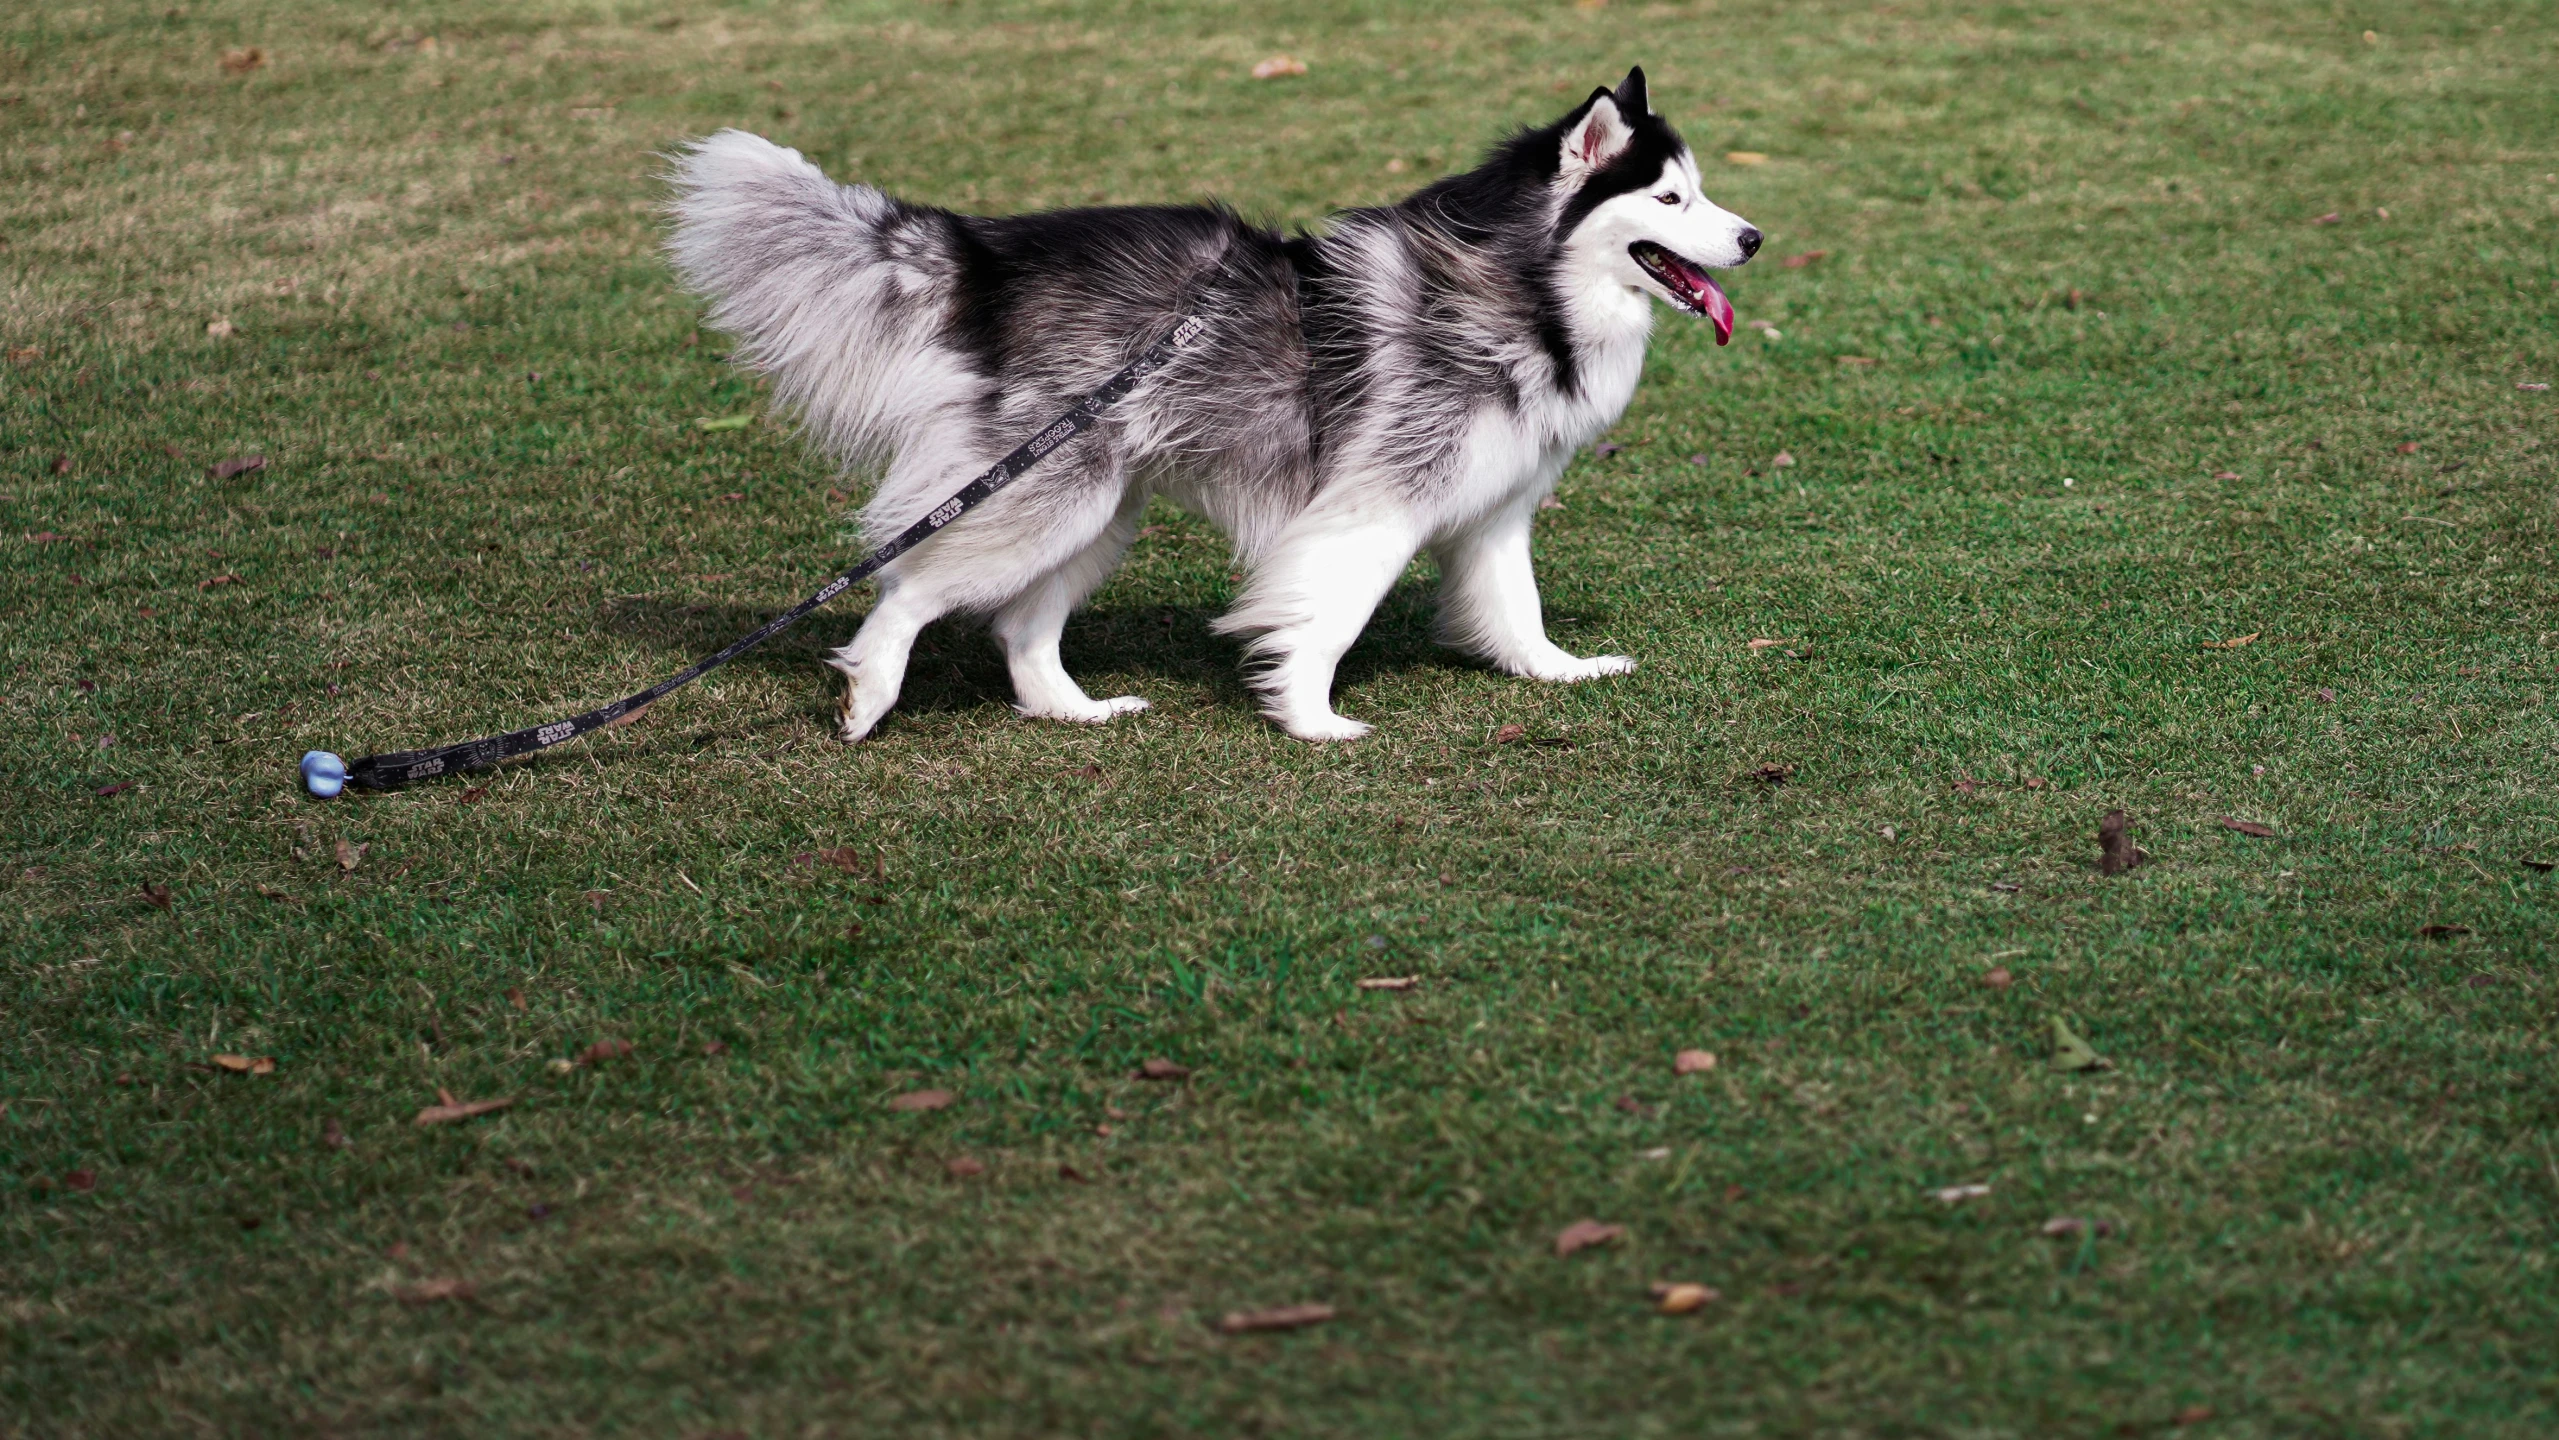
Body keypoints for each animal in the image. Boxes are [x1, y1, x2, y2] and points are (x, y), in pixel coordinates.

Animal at [670, 67, 1760, 741]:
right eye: (1668, 202)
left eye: (1701, 193)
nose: (1752, 237)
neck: (1522, 290)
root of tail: (988, 256)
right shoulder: (1373, 511)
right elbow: (1330, 616)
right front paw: (1312, 720)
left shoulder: (1491, 512)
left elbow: (1515, 609)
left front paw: (1554, 670)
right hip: (1051, 497)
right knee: (907, 589)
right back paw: (870, 692)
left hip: (1100, 510)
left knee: (1022, 631)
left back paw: (1072, 711)